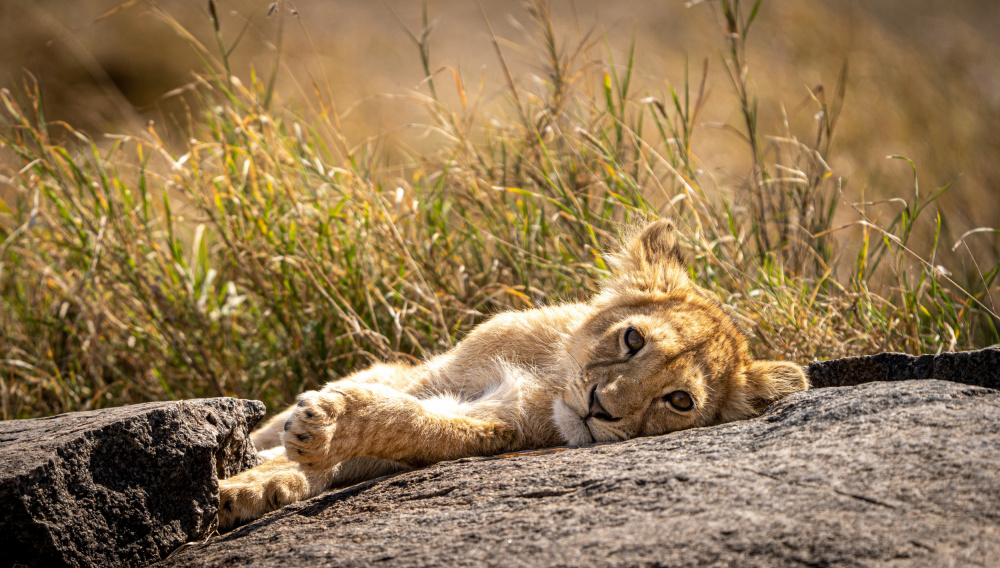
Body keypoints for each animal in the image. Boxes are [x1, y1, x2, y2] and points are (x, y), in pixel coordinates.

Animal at [218, 219, 807, 529]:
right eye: (633, 339)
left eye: (680, 401)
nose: (599, 406)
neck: (550, 377)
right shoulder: (435, 374)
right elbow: (384, 407)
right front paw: (257, 478)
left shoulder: (497, 425)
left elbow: (411, 424)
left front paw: (306, 446)